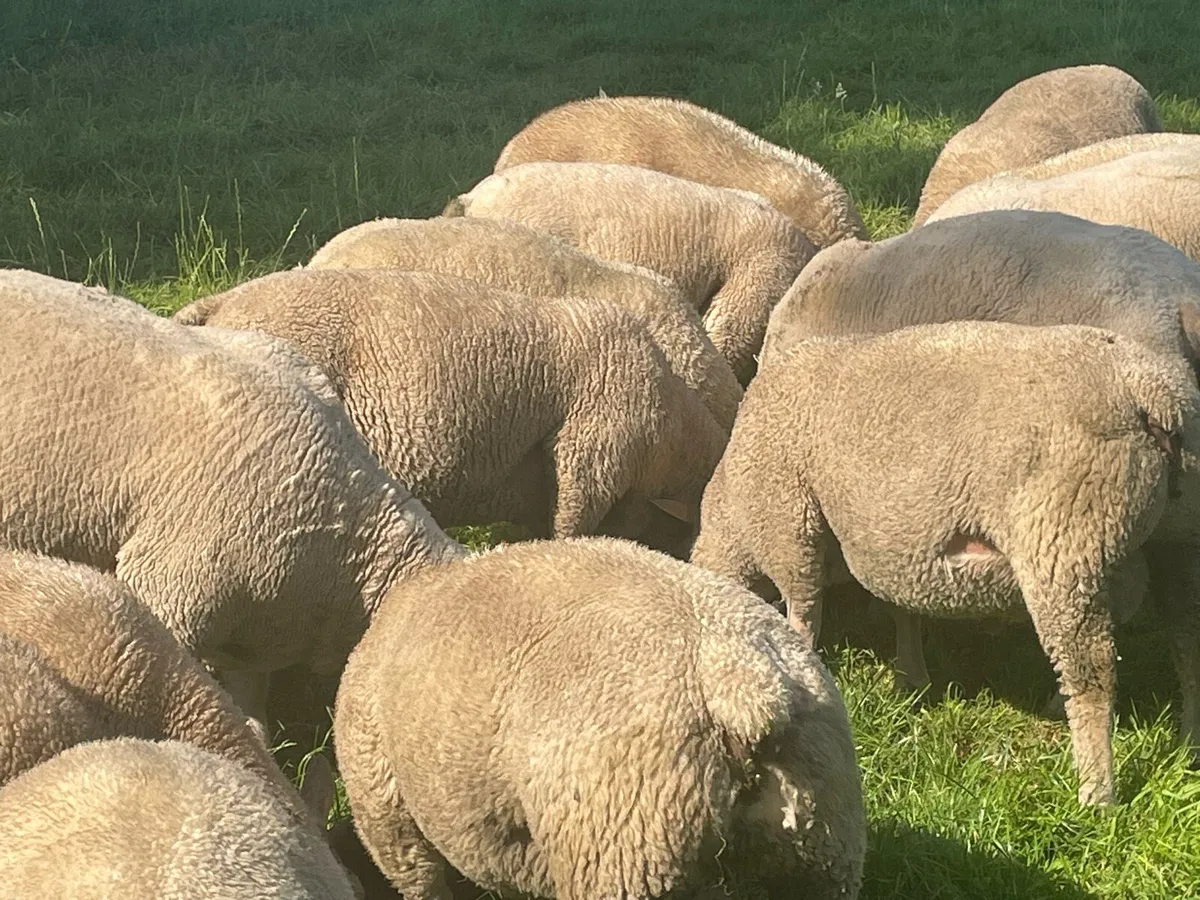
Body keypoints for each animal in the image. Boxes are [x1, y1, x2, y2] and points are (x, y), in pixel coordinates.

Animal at [690, 320, 1200, 806]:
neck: (729, 515)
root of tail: (1152, 391)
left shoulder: (790, 527)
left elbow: (803, 614)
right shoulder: (895, 546)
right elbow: (902, 610)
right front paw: (910, 678)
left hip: (1066, 538)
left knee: (1092, 672)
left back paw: (1096, 791)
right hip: (1179, 539)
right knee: (1186, 643)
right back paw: (1188, 748)